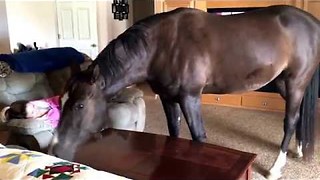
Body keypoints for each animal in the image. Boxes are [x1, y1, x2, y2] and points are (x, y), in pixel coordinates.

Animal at [51, 4, 318, 179]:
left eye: (80, 105)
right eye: (60, 101)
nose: (56, 149)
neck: (162, 46)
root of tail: (313, 23)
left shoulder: (190, 98)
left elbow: (198, 137)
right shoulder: (169, 98)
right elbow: (174, 133)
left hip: (295, 82)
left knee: (290, 119)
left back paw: (275, 168)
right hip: (284, 83)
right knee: (299, 115)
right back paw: (298, 150)